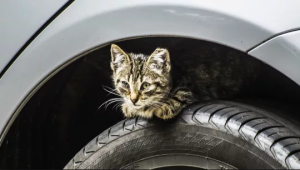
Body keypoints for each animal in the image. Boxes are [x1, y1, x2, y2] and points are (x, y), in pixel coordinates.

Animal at [110, 43, 258, 119]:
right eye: (125, 84)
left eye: (145, 85)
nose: (133, 99)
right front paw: (129, 106)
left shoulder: (195, 87)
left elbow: (180, 95)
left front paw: (160, 107)